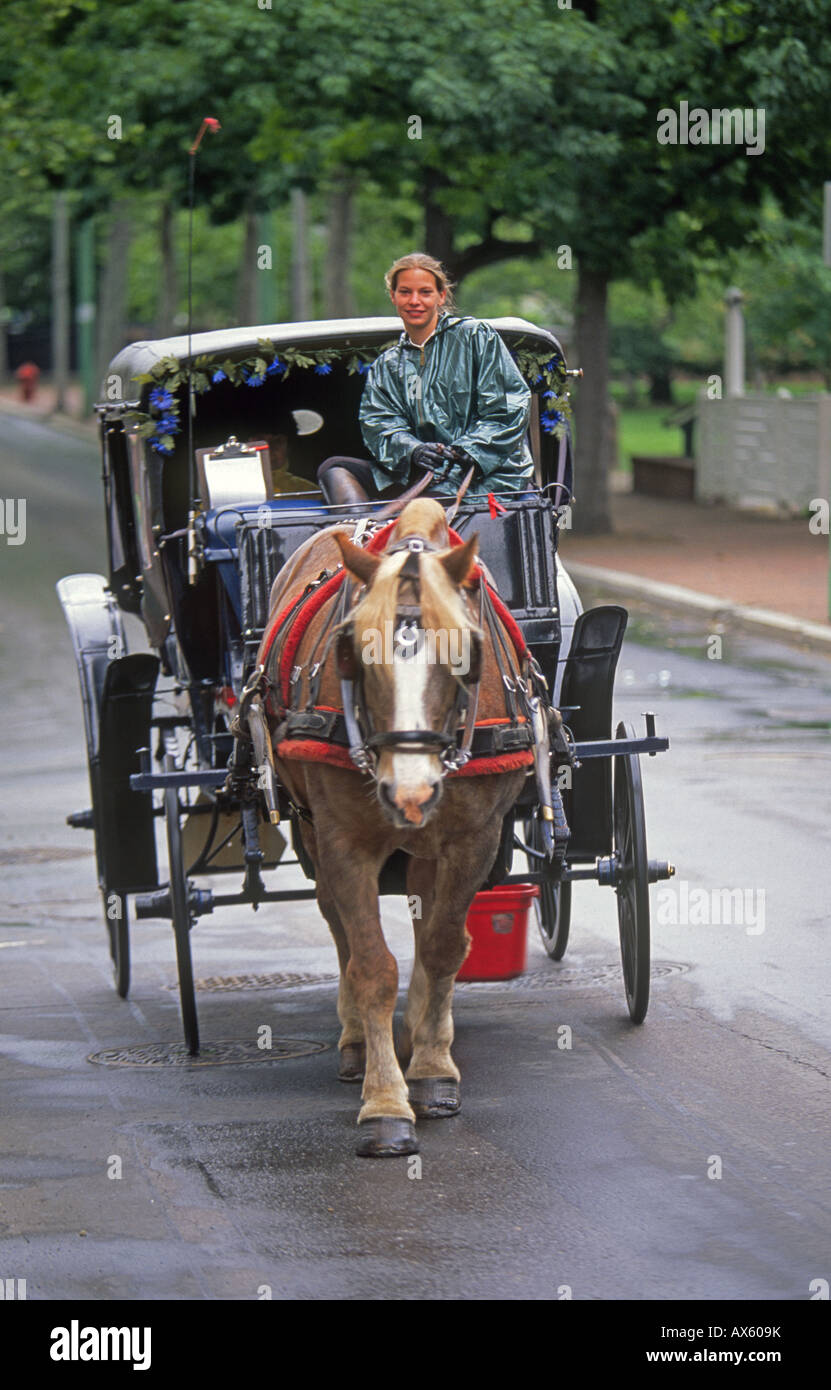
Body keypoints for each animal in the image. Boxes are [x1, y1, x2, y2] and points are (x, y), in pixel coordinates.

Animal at [258, 497, 541, 1150]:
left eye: (465, 654)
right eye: (353, 654)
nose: (409, 791)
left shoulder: (473, 838)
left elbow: (441, 946)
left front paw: (433, 1070)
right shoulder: (343, 840)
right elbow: (371, 964)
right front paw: (385, 1101)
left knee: (424, 916)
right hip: (314, 826)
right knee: (337, 922)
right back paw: (361, 1041)